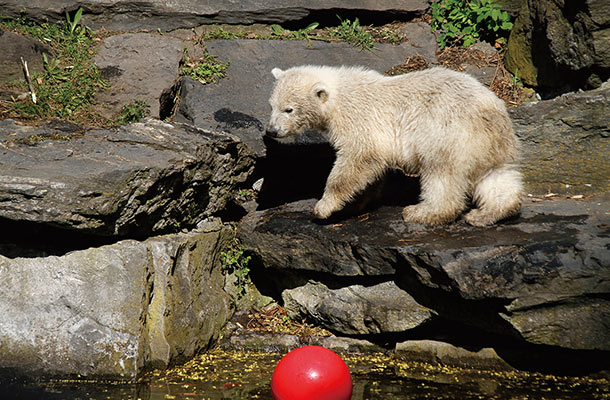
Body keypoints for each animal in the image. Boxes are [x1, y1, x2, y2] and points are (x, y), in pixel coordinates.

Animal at [264, 66, 520, 228]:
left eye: (289, 109)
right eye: (272, 105)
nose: (272, 130)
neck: (338, 95)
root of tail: (491, 112)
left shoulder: (358, 118)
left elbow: (357, 159)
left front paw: (324, 206)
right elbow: (372, 169)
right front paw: (358, 202)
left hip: (446, 133)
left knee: (441, 175)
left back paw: (422, 212)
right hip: (490, 145)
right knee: (496, 176)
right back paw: (488, 213)